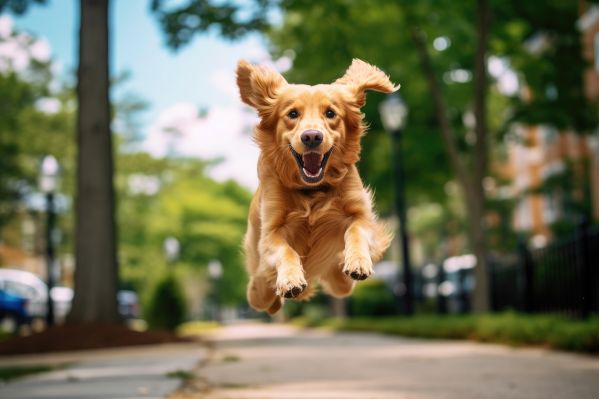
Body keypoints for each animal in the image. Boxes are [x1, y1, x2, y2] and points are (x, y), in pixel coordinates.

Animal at [237, 58, 400, 316]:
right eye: (293, 114)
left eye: (330, 113)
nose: (312, 136)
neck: (312, 190)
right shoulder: (271, 230)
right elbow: (286, 250)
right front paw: (290, 280)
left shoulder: (360, 213)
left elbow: (356, 229)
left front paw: (357, 260)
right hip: (257, 288)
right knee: (260, 285)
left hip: (339, 283)